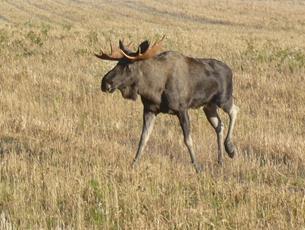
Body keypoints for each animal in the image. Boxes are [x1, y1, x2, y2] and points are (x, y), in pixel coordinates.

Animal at [95, 36, 238, 172]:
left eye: (128, 66)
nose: (105, 82)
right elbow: (143, 138)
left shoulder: (182, 109)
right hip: (208, 107)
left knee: (234, 110)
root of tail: (230, 71)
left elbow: (188, 140)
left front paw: (197, 167)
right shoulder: (149, 110)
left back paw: (231, 148)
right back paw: (221, 160)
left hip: (223, 99)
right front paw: (134, 164)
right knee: (219, 125)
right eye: (117, 63)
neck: (152, 87)